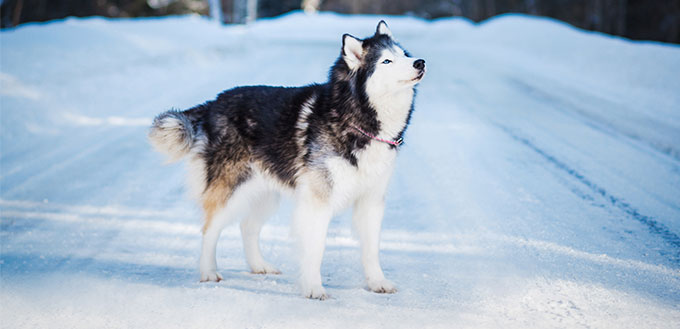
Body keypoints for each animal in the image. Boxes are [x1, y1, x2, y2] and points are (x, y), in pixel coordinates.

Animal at [149, 19, 424, 298]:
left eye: (404, 54)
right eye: (386, 61)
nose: (420, 62)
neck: (355, 118)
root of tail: (214, 102)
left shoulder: (371, 201)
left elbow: (371, 250)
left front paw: (377, 282)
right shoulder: (317, 202)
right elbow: (316, 249)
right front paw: (313, 288)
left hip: (264, 194)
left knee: (247, 227)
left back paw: (259, 266)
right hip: (231, 190)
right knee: (209, 230)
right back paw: (208, 272)